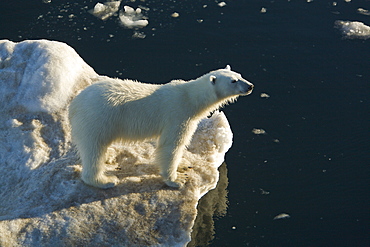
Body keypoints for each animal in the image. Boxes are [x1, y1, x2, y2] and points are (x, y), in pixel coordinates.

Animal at [68, 64, 254, 188]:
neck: (190, 99)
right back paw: (105, 181)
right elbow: (171, 145)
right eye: (233, 81)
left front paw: (183, 165)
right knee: (94, 150)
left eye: (239, 74)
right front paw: (176, 180)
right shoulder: (177, 115)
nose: (250, 86)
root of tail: (74, 105)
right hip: (97, 120)